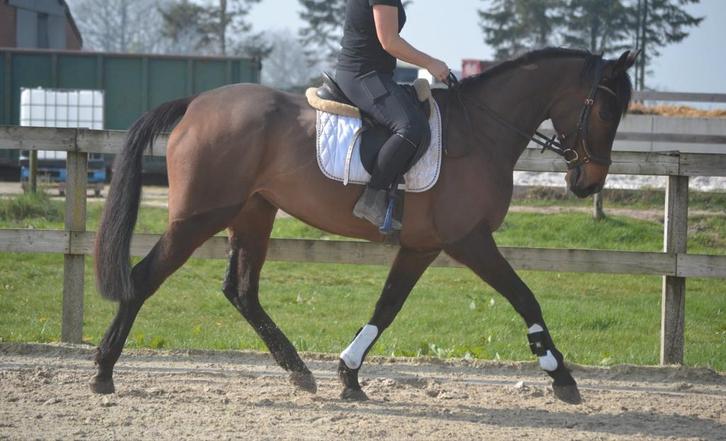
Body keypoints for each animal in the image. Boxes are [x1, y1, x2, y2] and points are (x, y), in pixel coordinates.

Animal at [91, 48, 637, 405]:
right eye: (607, 109)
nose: (588, 182)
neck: (480, 132)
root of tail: (196, 104)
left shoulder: (422, 246)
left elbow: (387, 307)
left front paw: (349, 375)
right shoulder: (469, 239)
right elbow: (525, 297)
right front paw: (560, 373)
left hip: (253, 213)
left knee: (241, 290)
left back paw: (299, 371)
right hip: (200, 217)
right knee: (144, 278)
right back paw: (103, 372)